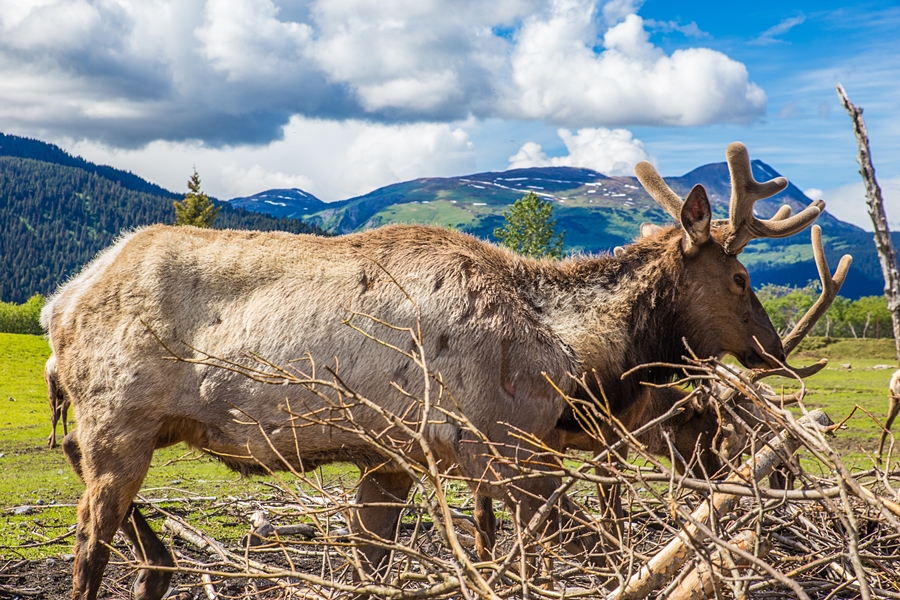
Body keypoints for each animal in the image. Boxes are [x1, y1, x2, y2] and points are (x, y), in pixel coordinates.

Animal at [44, 142, 824, 600]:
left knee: (105, 498)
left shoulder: (393, 458)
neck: (570, 355)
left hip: (122, 430)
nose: (775, 349)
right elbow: (541, 554)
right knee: (87, 549)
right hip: (120, 421)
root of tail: (59, 307)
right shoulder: (508, 448)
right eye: (740, 276)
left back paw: (158, 566)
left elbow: (373, 566)